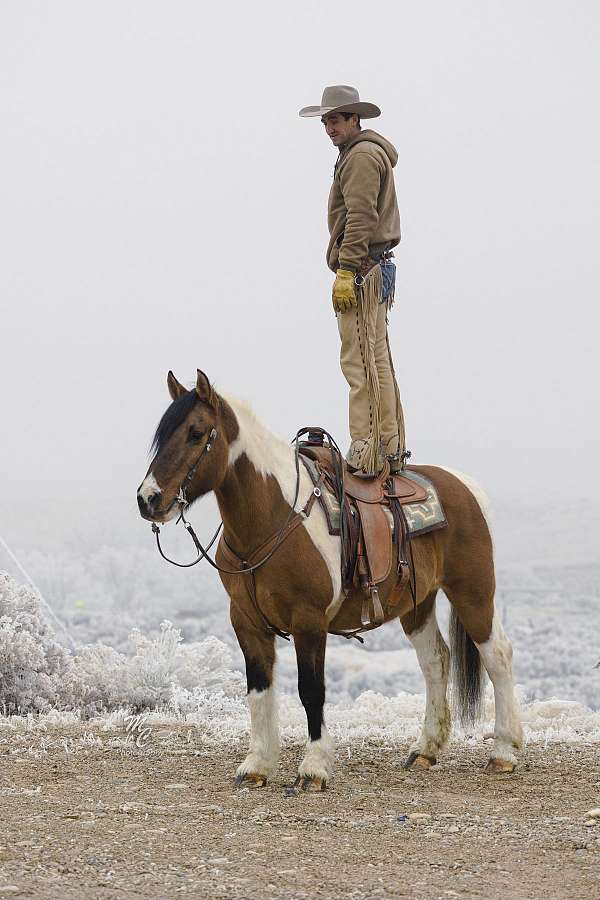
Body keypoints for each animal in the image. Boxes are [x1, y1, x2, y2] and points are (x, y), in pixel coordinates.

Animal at [138, 370, 524, 792]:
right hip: (418, 603)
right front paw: (257, 764)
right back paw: (425, 749)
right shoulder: (246, 622)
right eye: (162, 435)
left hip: (473, 592)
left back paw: (504, 751)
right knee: (436, 660)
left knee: (497, 655)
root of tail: (466, 486)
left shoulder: (309, 621)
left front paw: (314, 768)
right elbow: (259, 690)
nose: (148, 499)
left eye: (195, 432)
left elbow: (311, 690)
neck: (272, 518)